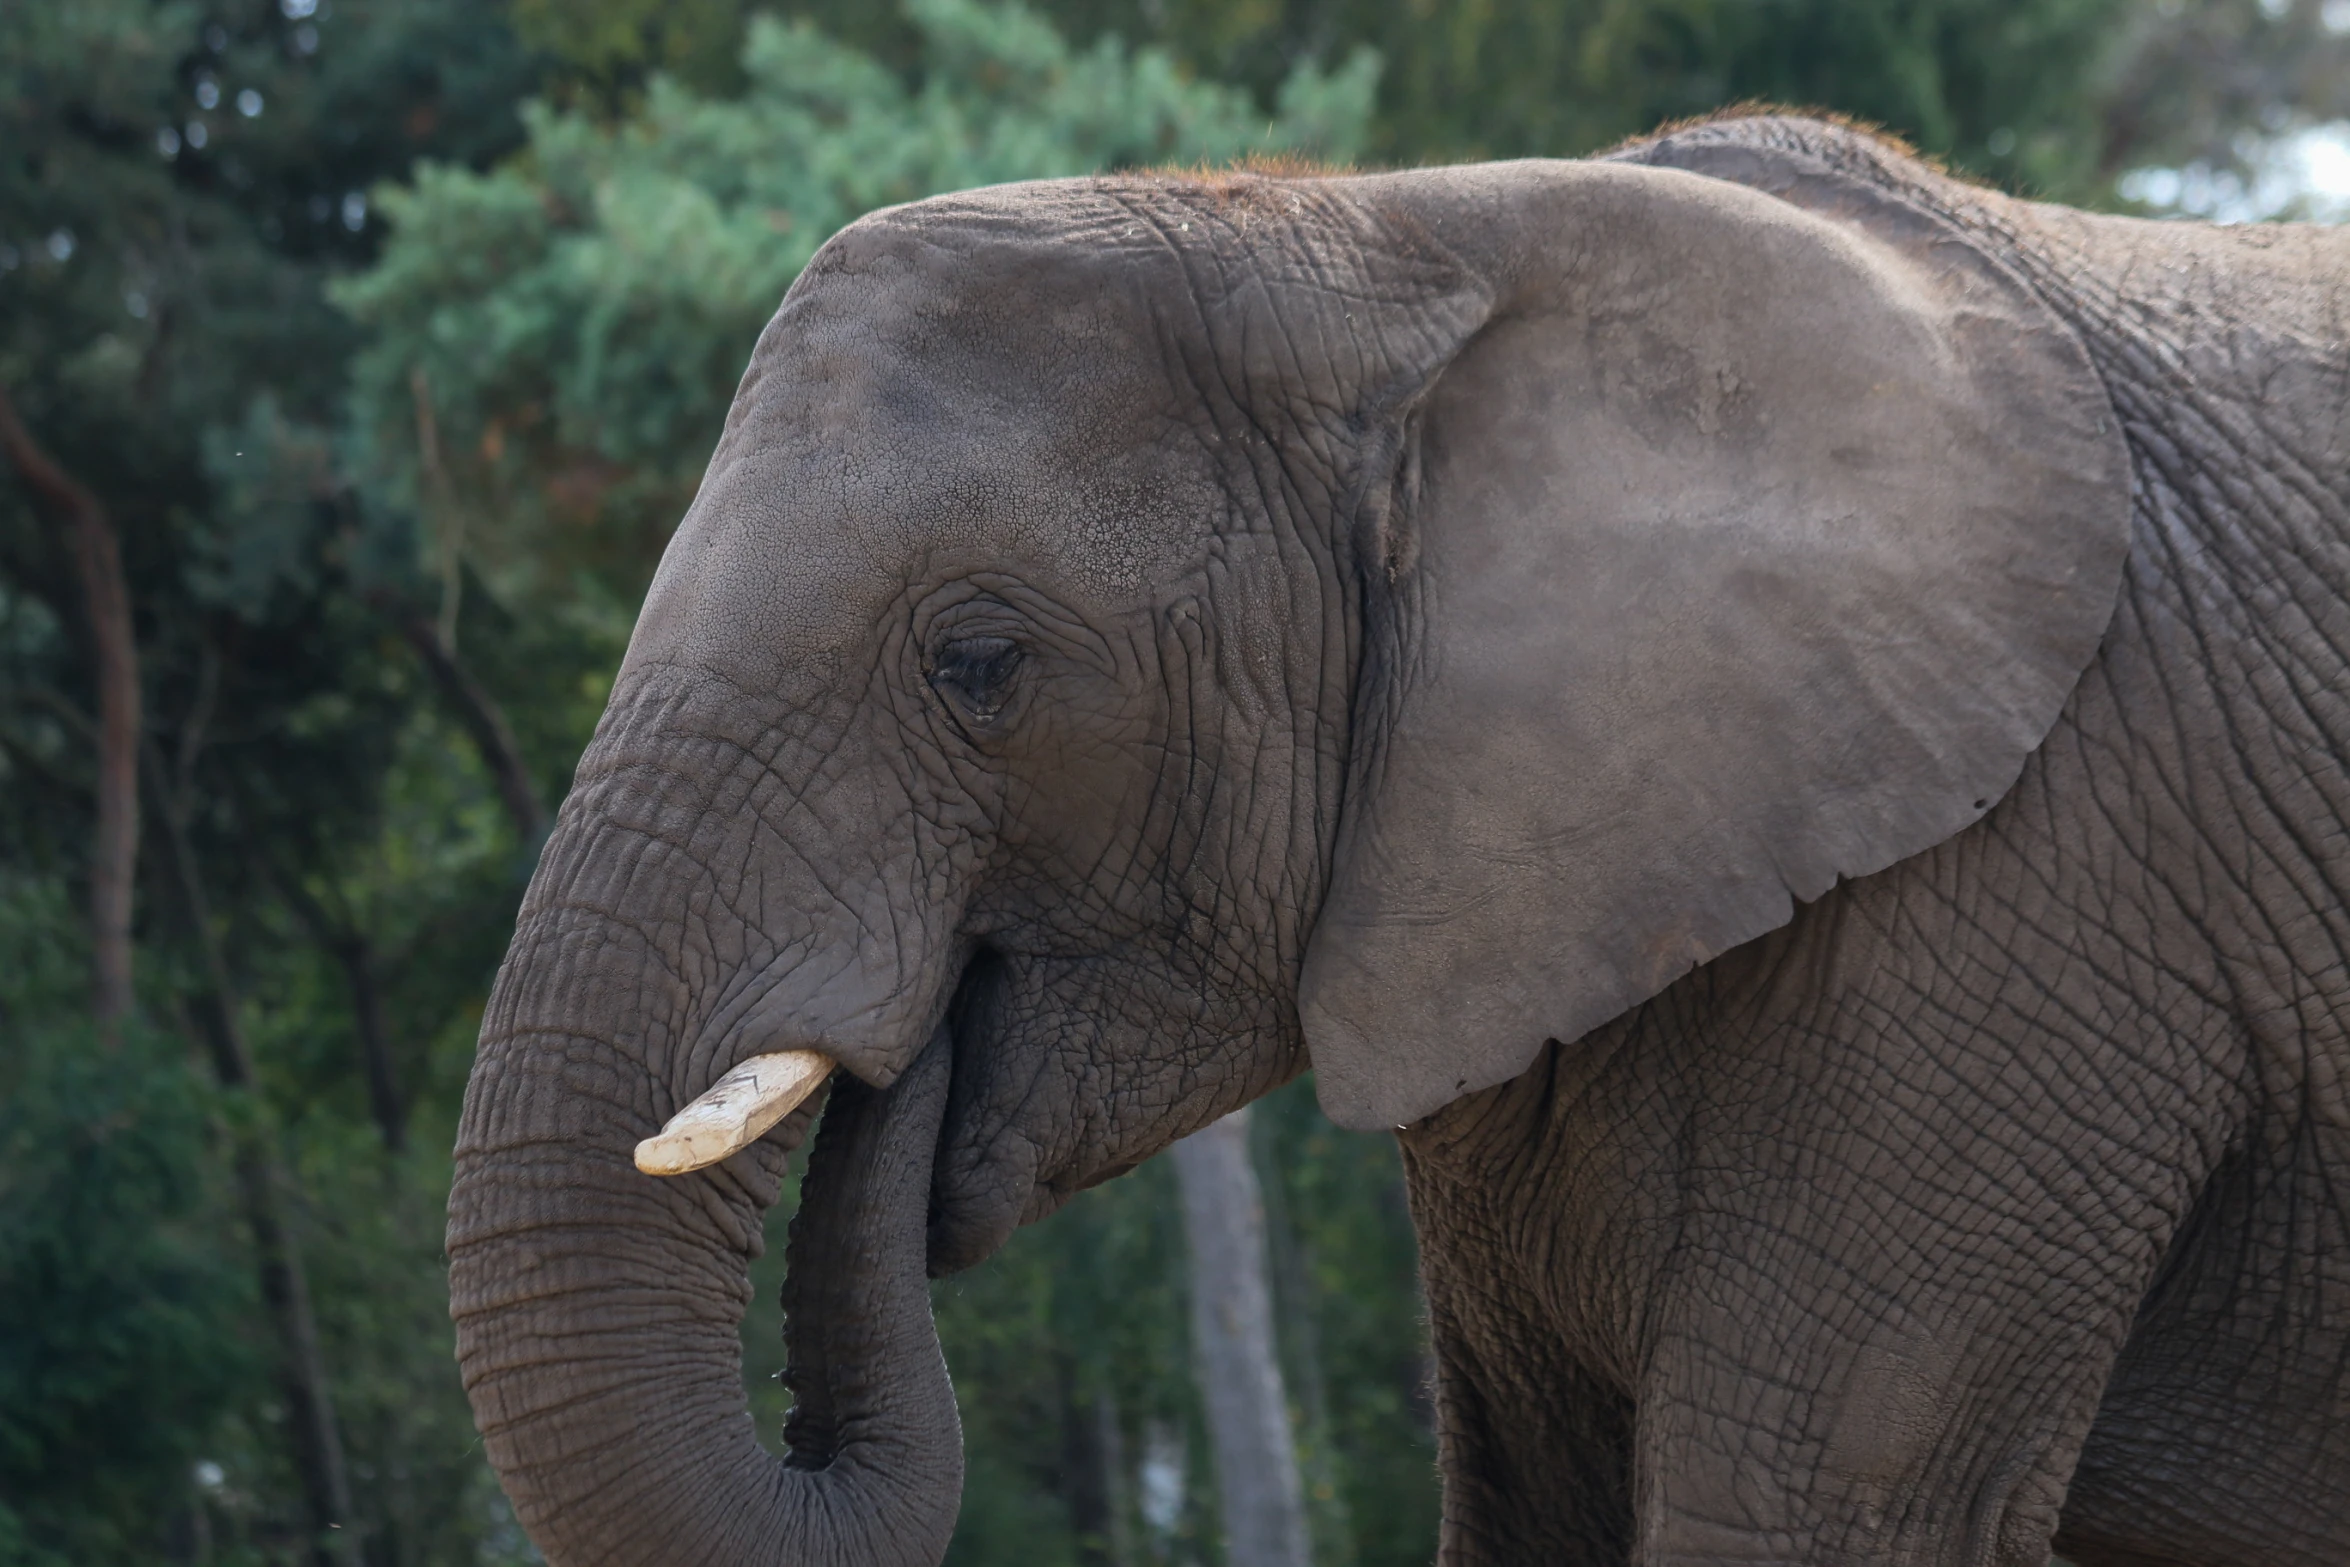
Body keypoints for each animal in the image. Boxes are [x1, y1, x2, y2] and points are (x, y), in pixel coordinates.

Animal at [444, 113, 2350, 1567]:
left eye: (977, 662)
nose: (898, 1056)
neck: (1395, 233)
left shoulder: (2032, 891)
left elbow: (1818, 1511)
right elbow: (1532, 1507)